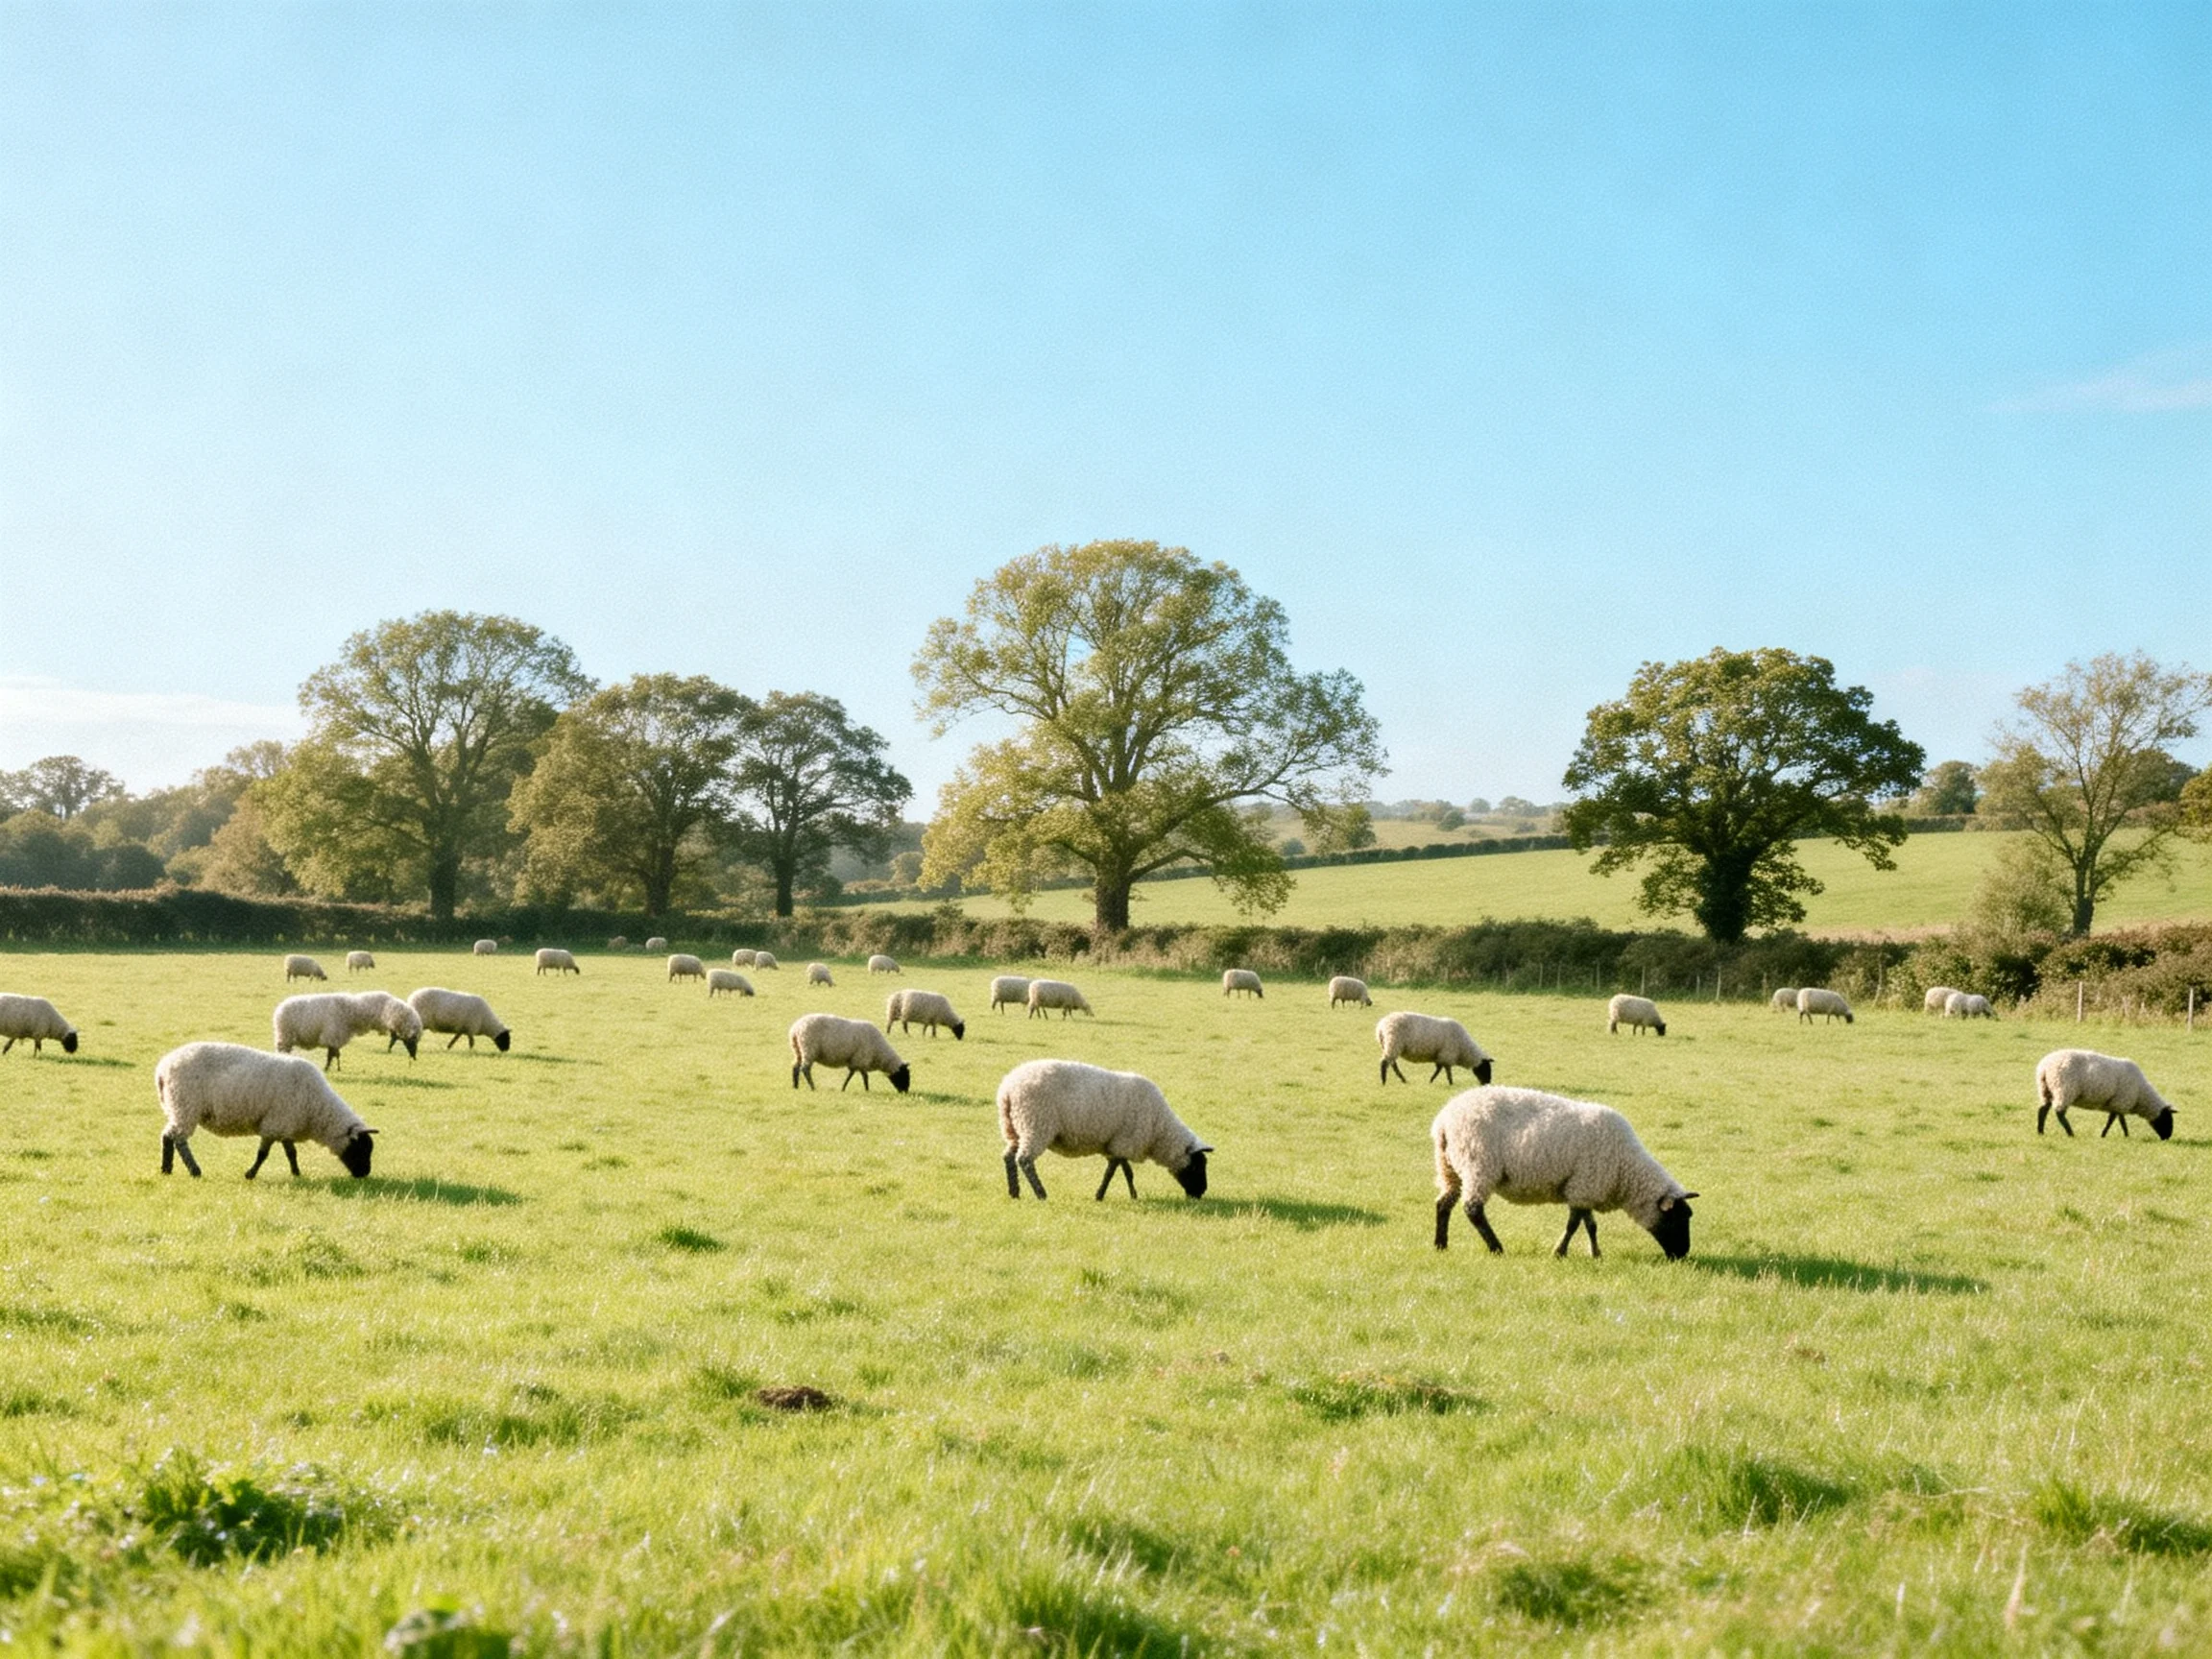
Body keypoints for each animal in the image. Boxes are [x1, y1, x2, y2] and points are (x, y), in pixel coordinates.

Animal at [154, 1040, 378, 1179]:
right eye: (360, 1148)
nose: (364, 1174)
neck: (318, 1109)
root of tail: (162, 1069)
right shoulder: (274, 1124)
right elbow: (263, 1154)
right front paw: (250, 1174)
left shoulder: (285, 1124)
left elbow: (291, 1152)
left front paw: (297, 1173)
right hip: (185, 1106)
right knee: (179, 1139)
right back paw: (194, 1170)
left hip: (176, 1107)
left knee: (167, 1136)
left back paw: (166, 1169)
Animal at [273, 991, 422, 1071]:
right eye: (412, 1039)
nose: (414, 1057)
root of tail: (279, 1009)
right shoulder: (332, 1036)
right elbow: (331, 1055)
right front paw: (327, 1069)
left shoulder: (335, 1039)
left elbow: (335, 1054)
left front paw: (335, 1068)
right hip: (285, 1036)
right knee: (282, 1051)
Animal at [997, 1058, 1211, 1201]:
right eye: (1197, 1165)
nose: (1200, 1193)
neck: (1159, 1129)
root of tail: (1007, 1089)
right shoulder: (1126, 1141)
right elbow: (1113, 1172)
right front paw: (1100, 1195)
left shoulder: (1119, 1142)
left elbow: (1126, 1171)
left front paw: (1133, 1195)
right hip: (1035, 1124)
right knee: (1024, 1160)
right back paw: (1041, 1194)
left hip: (1014, 1128)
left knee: (1008, 1156)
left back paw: (1014, 1193)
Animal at [1433, 1085, 1696, 1259]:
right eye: (1679, 1218)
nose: (1682, 1255)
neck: (1626, 1170)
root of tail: (1444, 1120)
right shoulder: (1584, 1186)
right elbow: (1574, 1225)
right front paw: (1559, 1252)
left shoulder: (1585, 1187)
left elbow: (1590, 1225)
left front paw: (1596, 1254)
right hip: (1478, 1165)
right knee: (1473, 1209)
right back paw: (1496, 1248)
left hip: (1448, 1168)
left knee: (1443, 1203)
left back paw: (1441, 1245)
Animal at [2035, 1049, 2177, 1141]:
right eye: (2167, 1119)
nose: (2167, 1138)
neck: (2141, 1095)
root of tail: (2044, 1067)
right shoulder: (2121, 1101)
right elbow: (2114, 1120)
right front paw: (2110, 1135)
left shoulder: (2118, 1103)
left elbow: (2118, 1119)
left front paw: (2122, 1135)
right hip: (2064, 1089)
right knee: (2059, 1113)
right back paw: (2070, 1133)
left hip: (2046, 1090)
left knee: (2043, 1110)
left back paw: (2040, 1131)